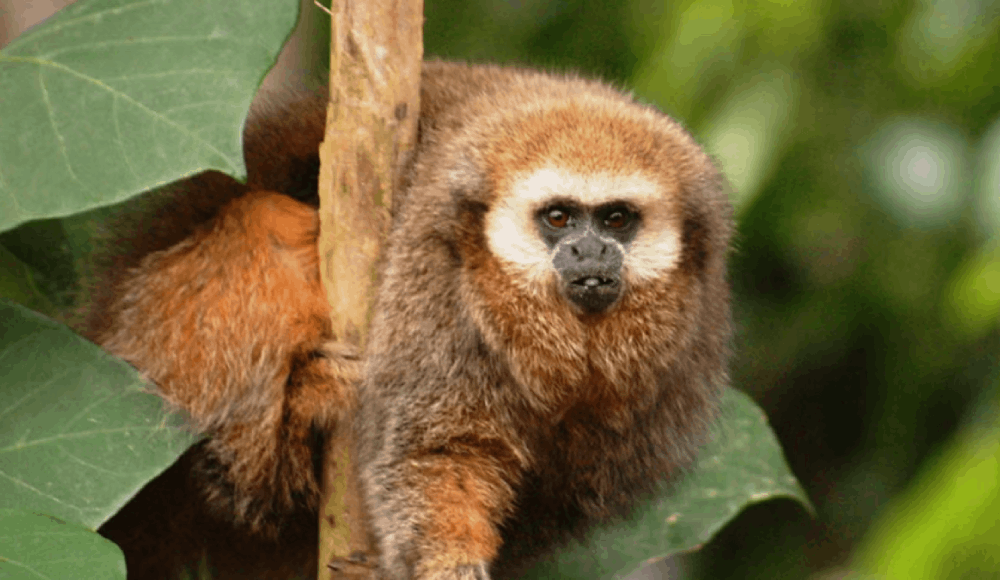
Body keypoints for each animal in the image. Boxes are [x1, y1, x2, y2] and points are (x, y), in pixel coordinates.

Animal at [79, 59, 732, 579]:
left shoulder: (689, 349)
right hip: (152, 338)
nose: (589, 252)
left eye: (617, 219)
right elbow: (435, 449)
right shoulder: (432, 272)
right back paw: (279, 441)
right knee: (268, 220)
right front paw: (447, 560)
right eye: (559, 218)